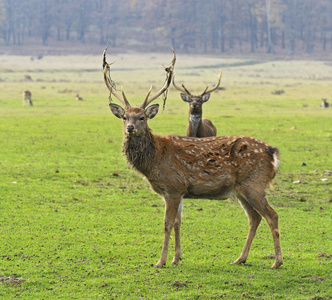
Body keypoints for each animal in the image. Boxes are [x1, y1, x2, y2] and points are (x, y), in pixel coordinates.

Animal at [102, 47, 282, 270]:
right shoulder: (180, 190)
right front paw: (176, 258)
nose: (130, 128)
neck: (154, 160)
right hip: (241, 189)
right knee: (254, 218)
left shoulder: (171, 187)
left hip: (254, 183)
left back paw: (276, 262)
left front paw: (160, 261)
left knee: (272, 215)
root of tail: (272, 152)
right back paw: (240, 258)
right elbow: (178, 223)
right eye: (124, 116)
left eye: (142, 117)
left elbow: (167, 224)